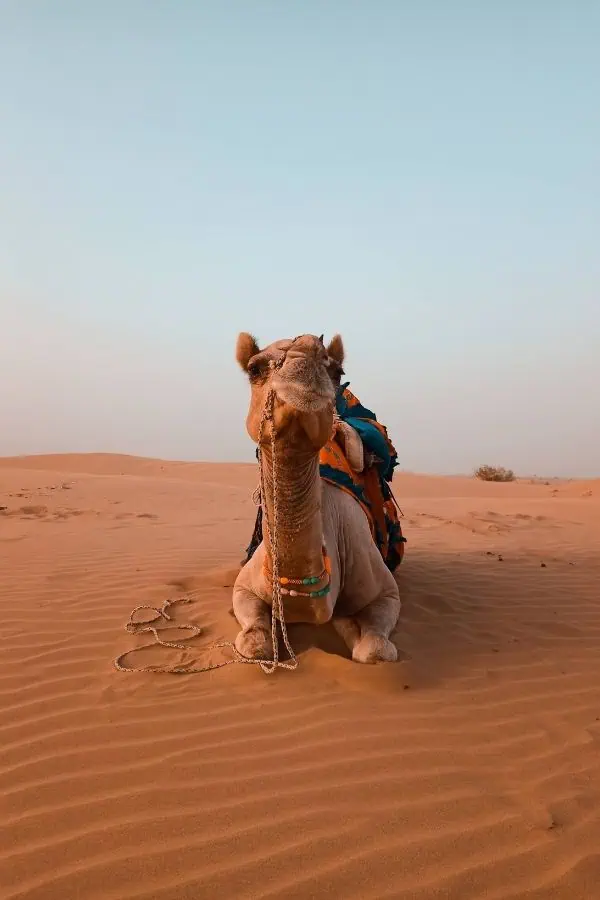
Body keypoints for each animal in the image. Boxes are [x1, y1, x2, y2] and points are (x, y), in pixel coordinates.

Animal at [232, 333, 401, 664]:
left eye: (337, 371)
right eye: (255, 368)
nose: (306, 350)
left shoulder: (387, 591)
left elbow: (374, 650)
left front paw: (349, 625)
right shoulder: (244, 586)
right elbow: (253, 644)